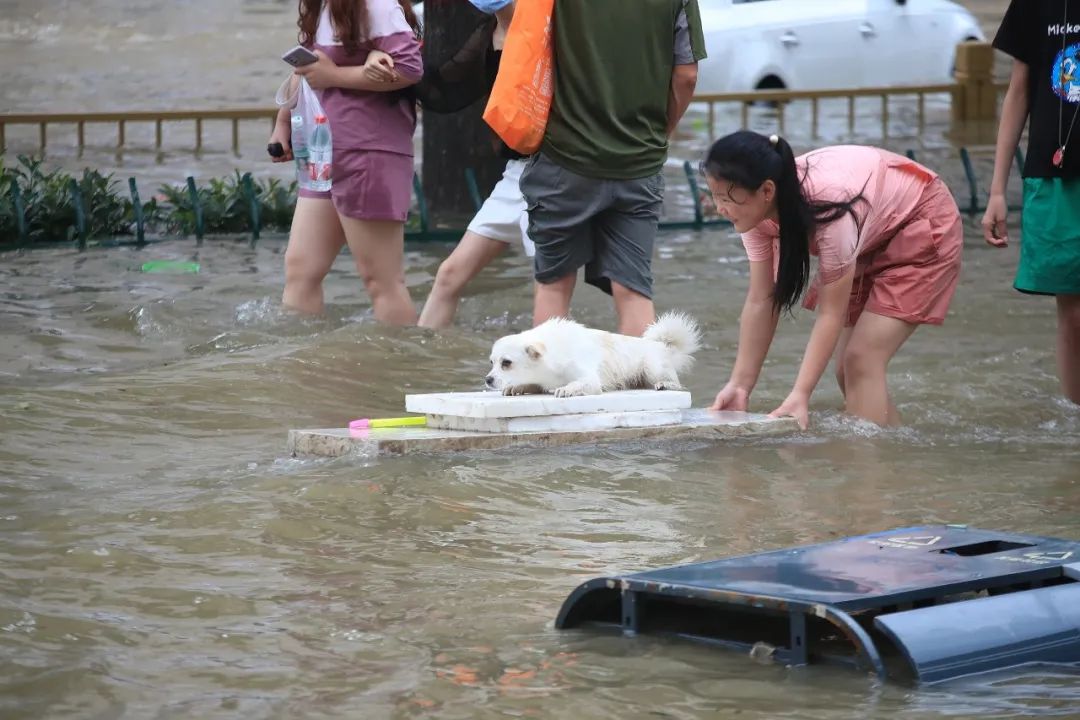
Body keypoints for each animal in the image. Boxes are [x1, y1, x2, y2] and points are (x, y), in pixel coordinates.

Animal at [483, 310, 699, 399]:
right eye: (492, 362)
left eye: (506, 363)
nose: (487, 379)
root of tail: (660, 345)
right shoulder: (542, 380)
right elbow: (532, 384)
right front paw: (516, 387)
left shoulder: (590, 379)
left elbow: (578, 384)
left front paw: (567, 389)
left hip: (652, 368)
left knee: (676, 383)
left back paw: (665, 384)